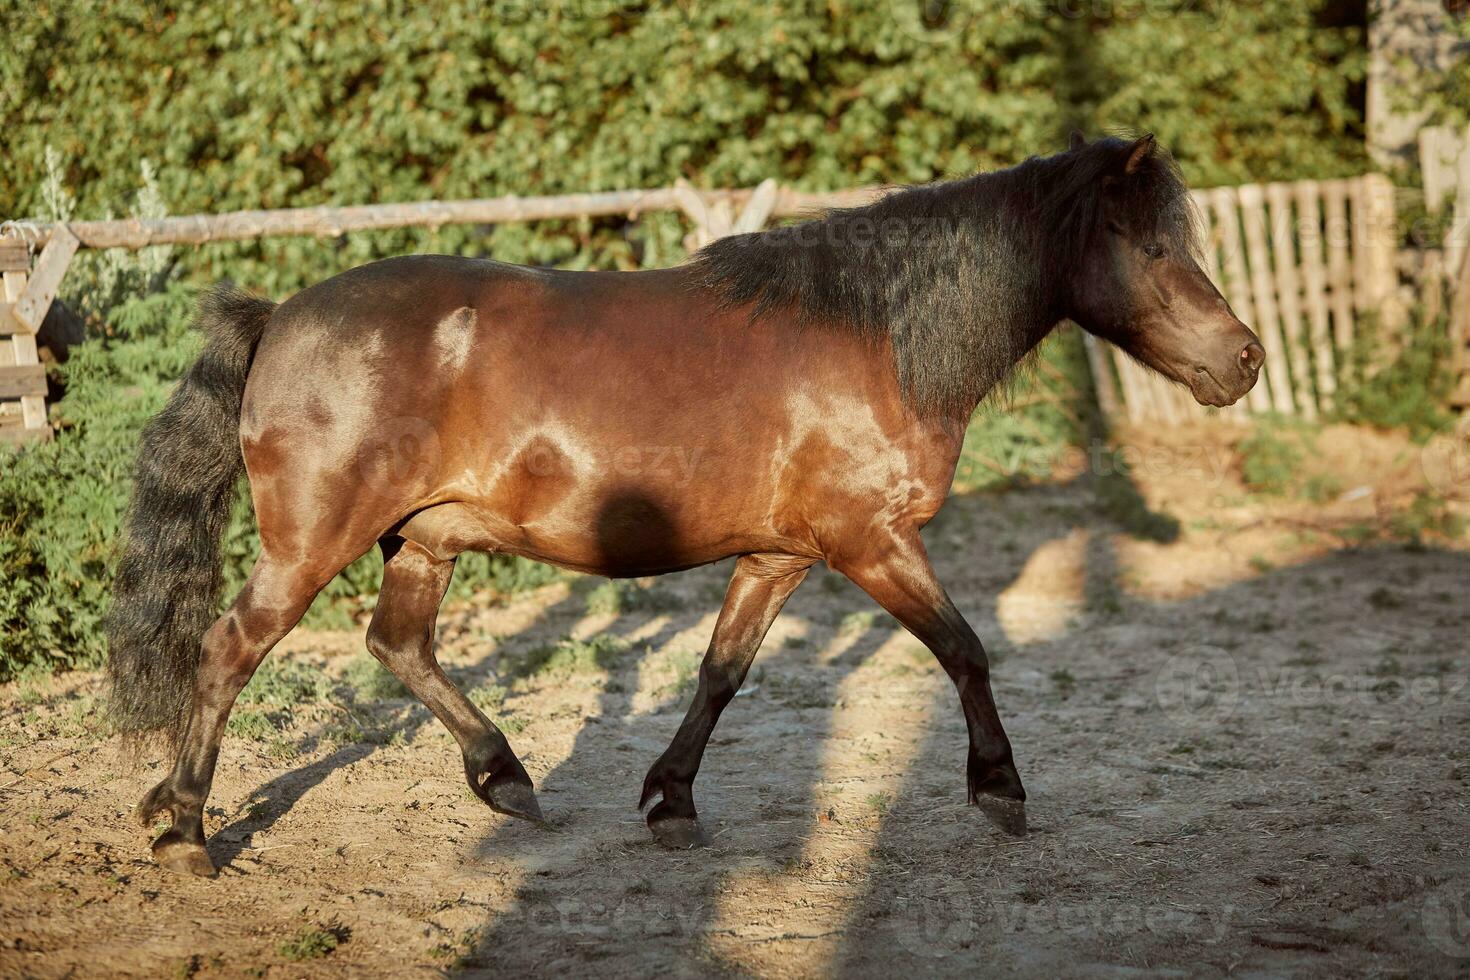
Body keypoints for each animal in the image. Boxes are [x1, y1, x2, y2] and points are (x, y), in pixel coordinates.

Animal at [111, 134, 1264, 875]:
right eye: (1156, 247)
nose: (1244, 358)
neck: (877, 338)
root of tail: (279, 316)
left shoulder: (779, 555)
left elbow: (720, 672)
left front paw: (669, 802)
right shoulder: (870, 540)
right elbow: (966, 650)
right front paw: (1001, 790)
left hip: (424, 539)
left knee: (398, 645)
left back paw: (505, 778)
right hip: (314, 541)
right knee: (229, 649)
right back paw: (184, 832)